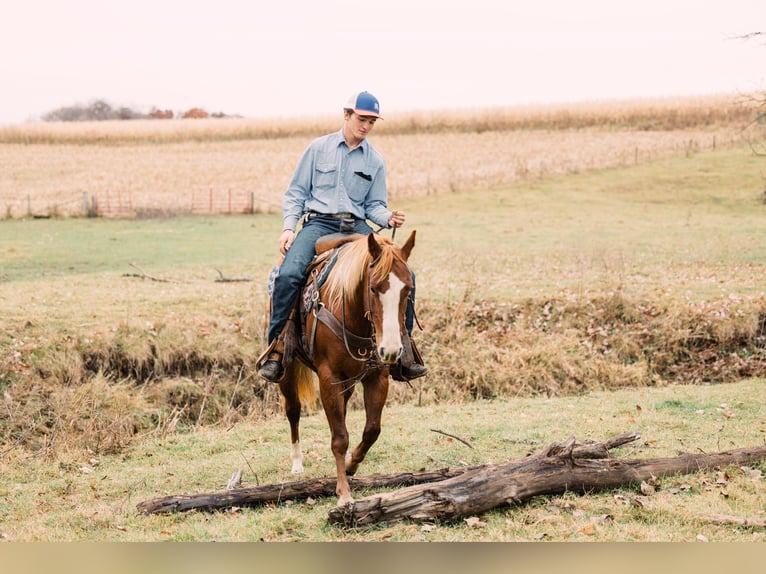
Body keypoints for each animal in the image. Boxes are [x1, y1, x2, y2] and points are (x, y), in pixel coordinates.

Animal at [280, 232, 416, 506]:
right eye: (373, 288)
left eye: (407, 289)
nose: (391, 350)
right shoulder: (328, 378)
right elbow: (340, 438)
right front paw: (344, 493)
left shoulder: (377, 378)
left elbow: (372, 430)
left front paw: (352, 464)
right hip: (288, 370)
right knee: (293, 411)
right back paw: (297, 463)